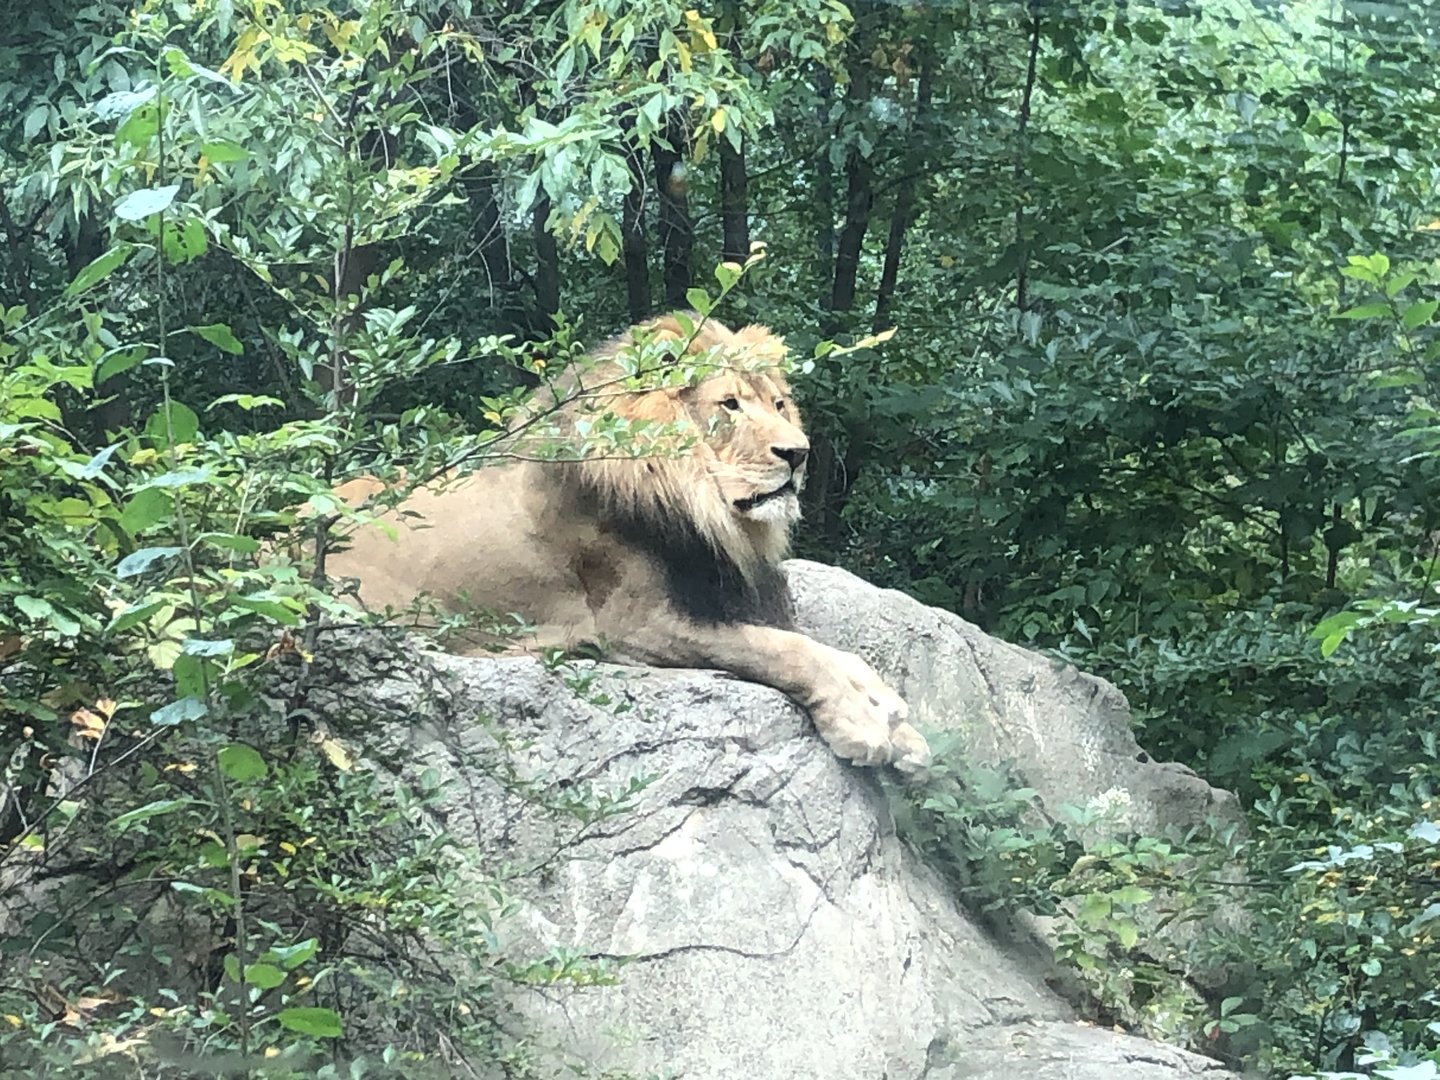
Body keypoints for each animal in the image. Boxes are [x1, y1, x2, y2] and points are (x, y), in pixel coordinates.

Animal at [326, 315, 931, 772]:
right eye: (730, 405)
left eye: (779, 404)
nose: (799, 454)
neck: (699, 501)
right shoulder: (638, 623)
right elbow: (788, 650)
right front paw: (861, 726)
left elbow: (834, 651)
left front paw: (899, 722)